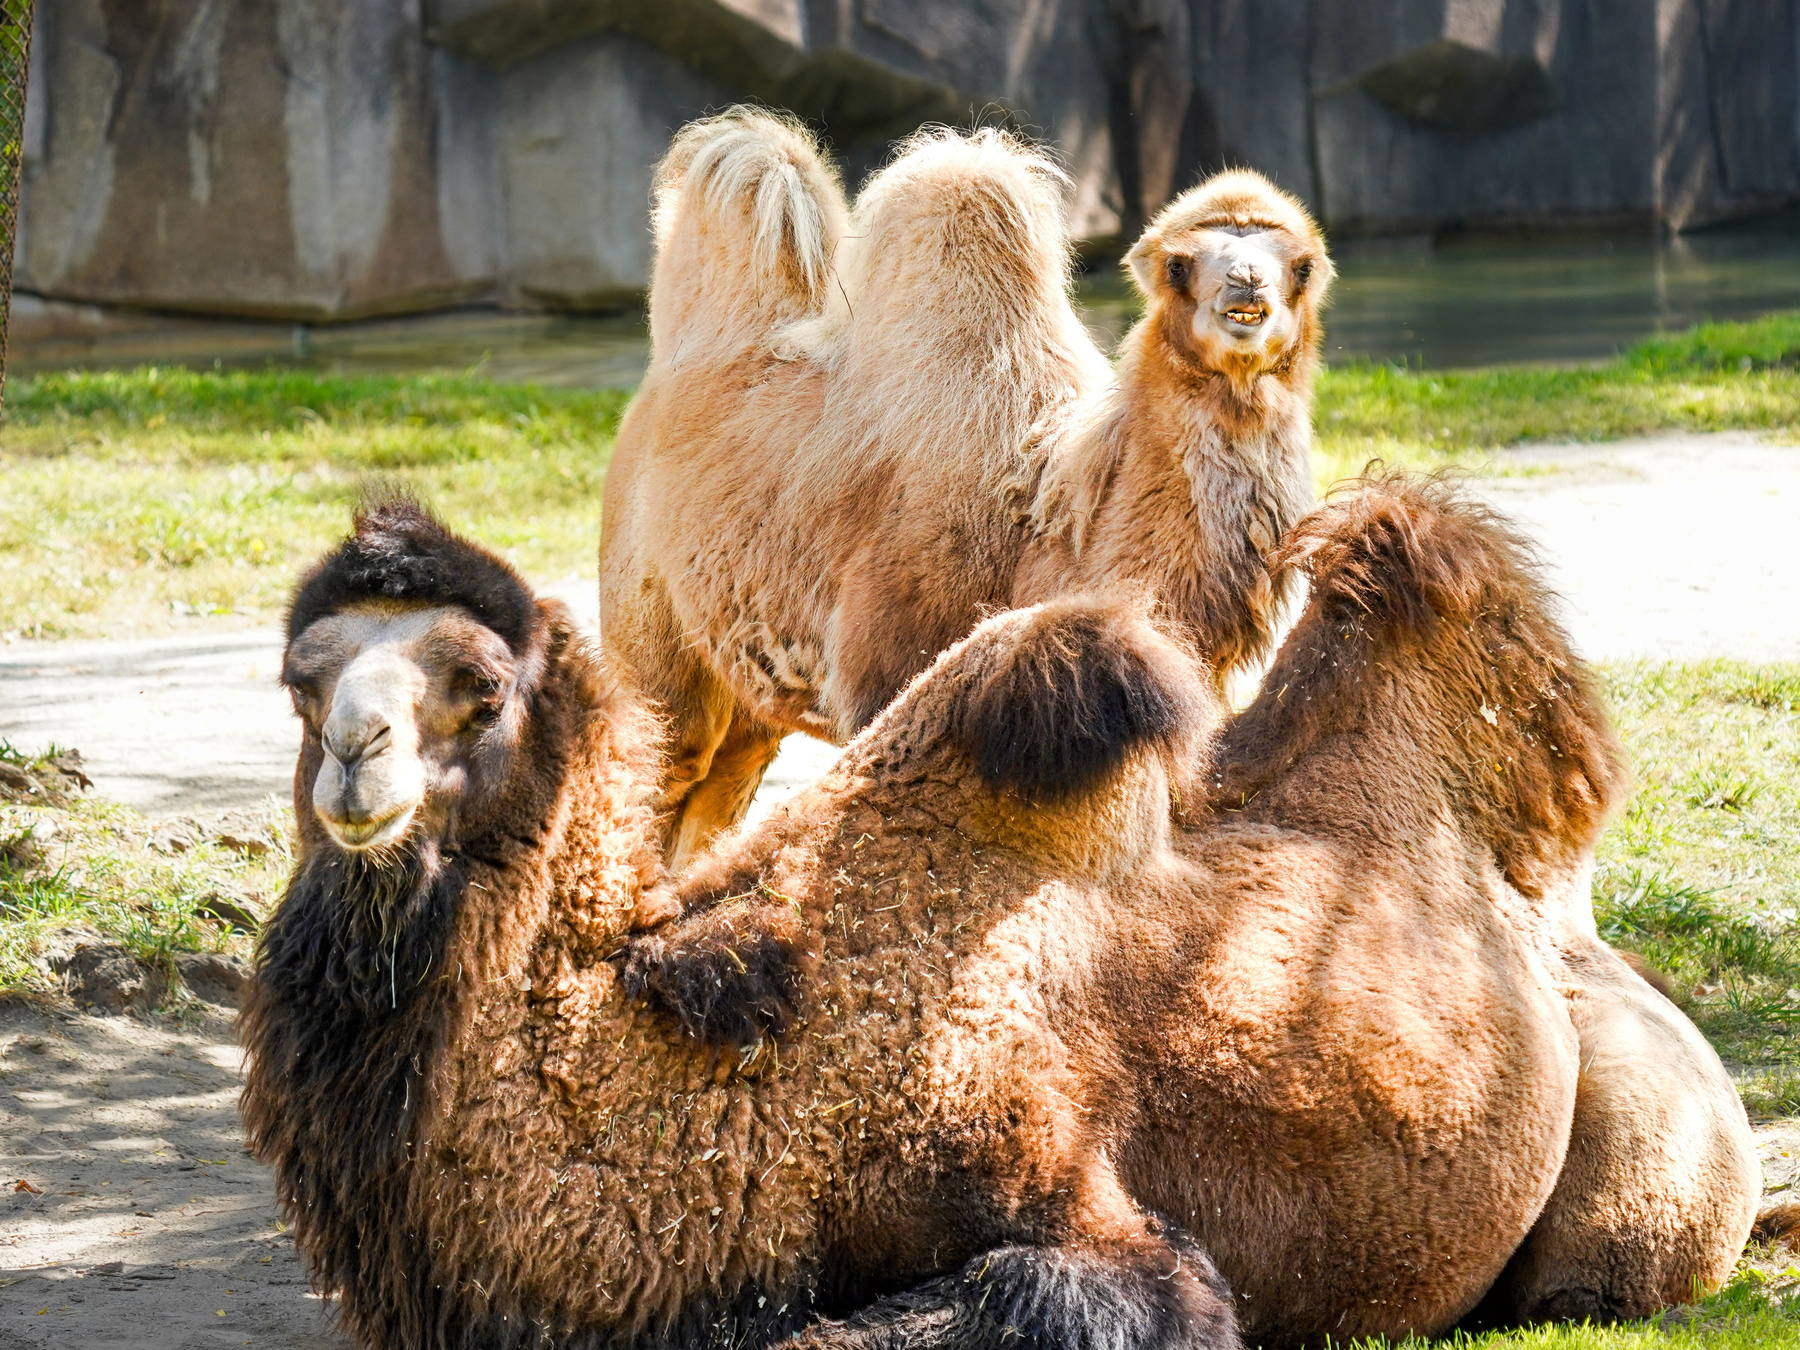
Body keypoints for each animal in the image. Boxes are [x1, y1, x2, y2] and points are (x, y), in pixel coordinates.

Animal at [245, 484, 1756, 1350]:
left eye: (479, 688)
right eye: (300, 681)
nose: (355, 761)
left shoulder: (1055, 1165)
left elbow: (1049, 1295)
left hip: (1641, 1180)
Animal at [599, 110, 1333, 866]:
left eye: (1301, 266)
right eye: (1180, 266)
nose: (1247, 287)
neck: (1046, 521)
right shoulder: (882, 670)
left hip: (747, 697)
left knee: (708, 802)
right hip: (654, 644)